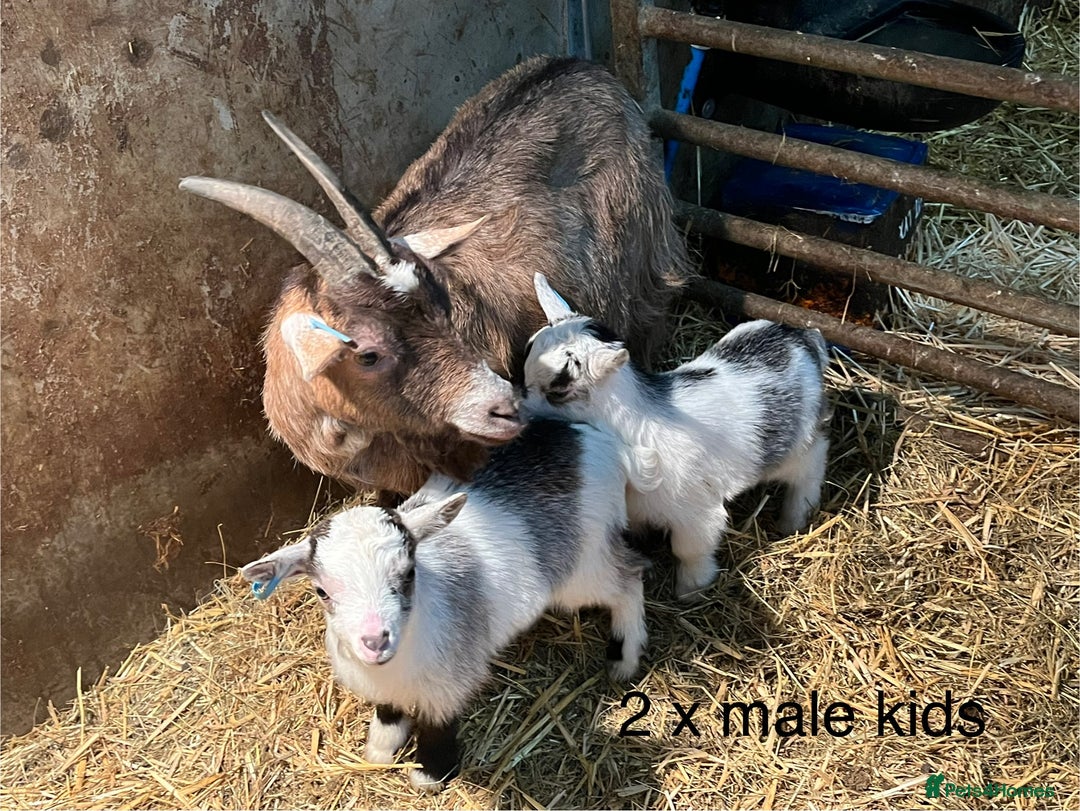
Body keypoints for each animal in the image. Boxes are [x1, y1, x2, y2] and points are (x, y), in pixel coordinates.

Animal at [240, 418, 648, 792]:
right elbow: (388, 713)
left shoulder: (449, 683)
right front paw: (380, 751)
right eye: (321, 591)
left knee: (629, 578)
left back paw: (624, 659)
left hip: (584, 566)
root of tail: (589, 435)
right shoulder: (385, 687)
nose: (374, 641)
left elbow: (437, 727)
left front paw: (429, 775)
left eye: (408, 573)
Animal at [522, 273, 830, 599]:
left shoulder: (697, 515)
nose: (519, 410)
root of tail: (803, 338)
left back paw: (793, 519)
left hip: (799, 446)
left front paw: (690, 590)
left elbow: (689, 551)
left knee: (811, 465)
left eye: (558, 391)